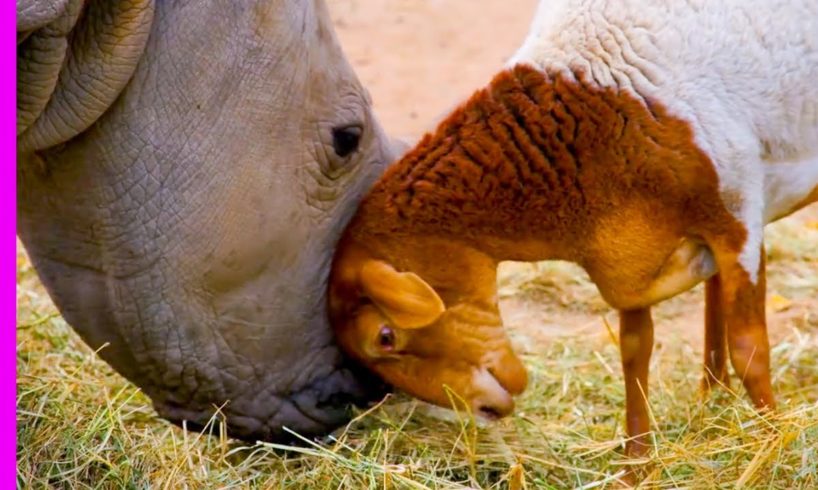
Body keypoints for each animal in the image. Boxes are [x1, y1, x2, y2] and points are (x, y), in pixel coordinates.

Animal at [326, 0, 816, 460]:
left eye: (385, 337)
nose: (487, 410)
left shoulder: (736, 214)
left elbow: (749, 350)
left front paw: (773, 446)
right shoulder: (628, 245)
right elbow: (635, 351)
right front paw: (635, 465)